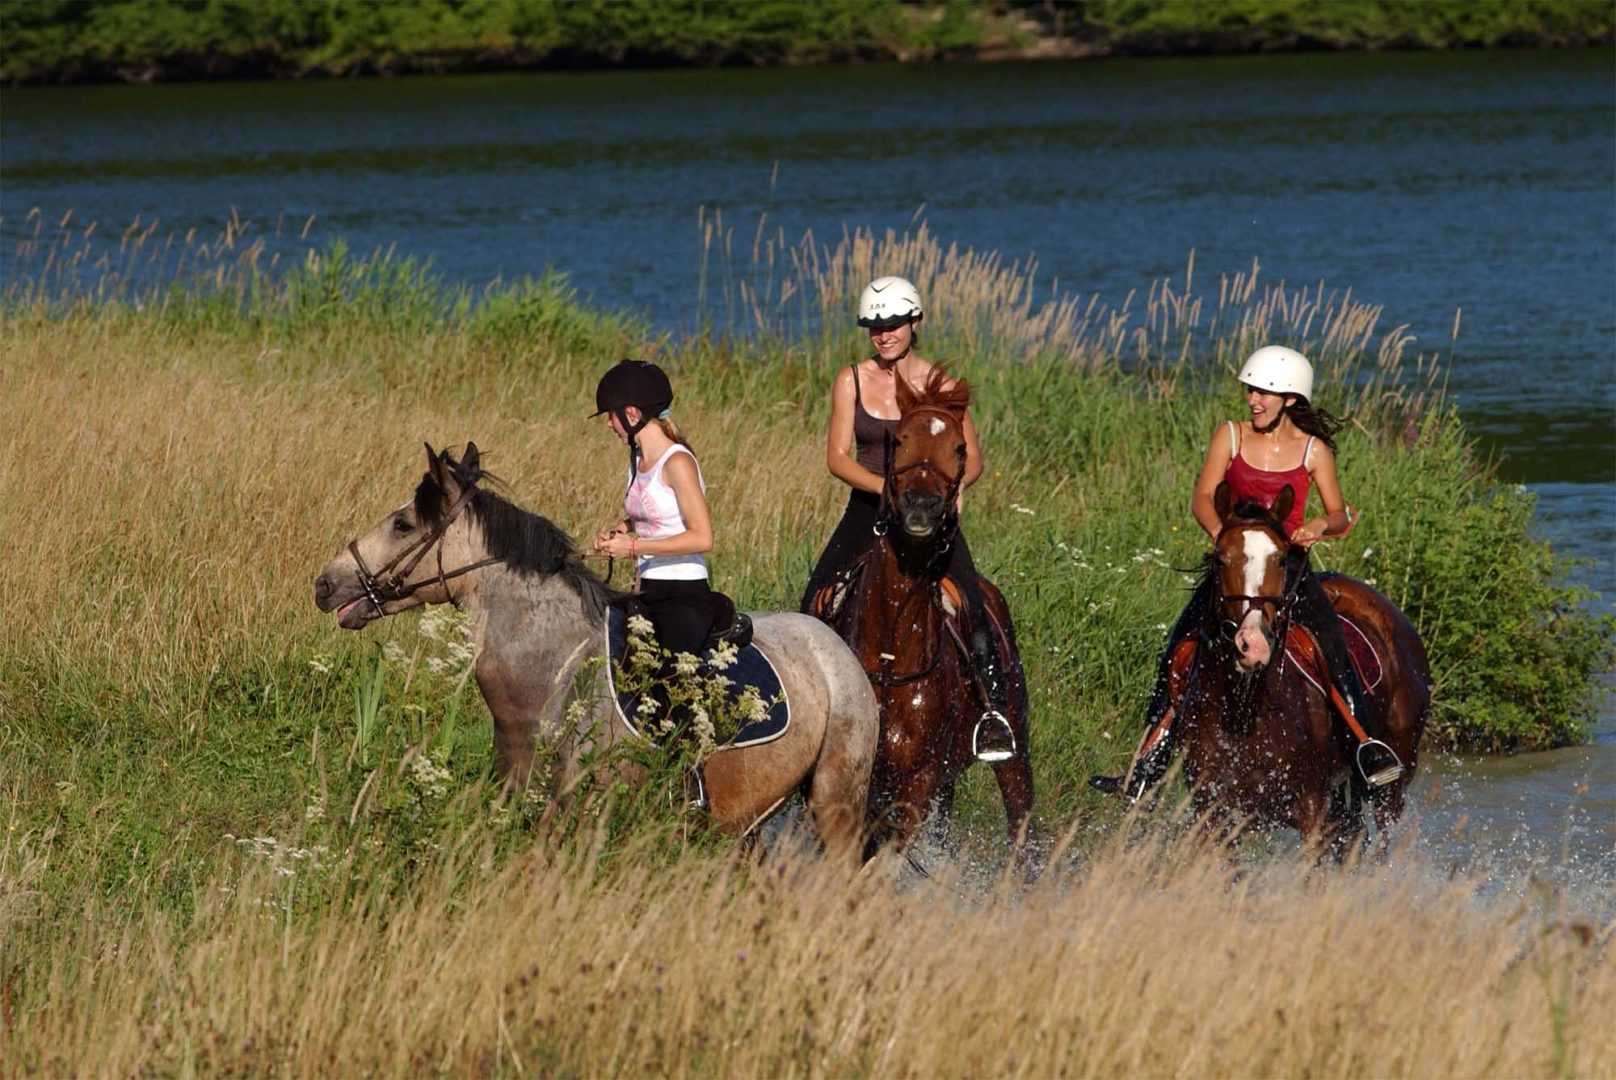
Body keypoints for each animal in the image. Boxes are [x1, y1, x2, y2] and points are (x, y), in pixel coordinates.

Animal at [1182, 481, 1435, 853]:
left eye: (1280, 559)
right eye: (1220, 558)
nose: (1252, 644)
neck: (1247, 708)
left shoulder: (1311, 807)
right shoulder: (1214, 810)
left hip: (1392, 782)